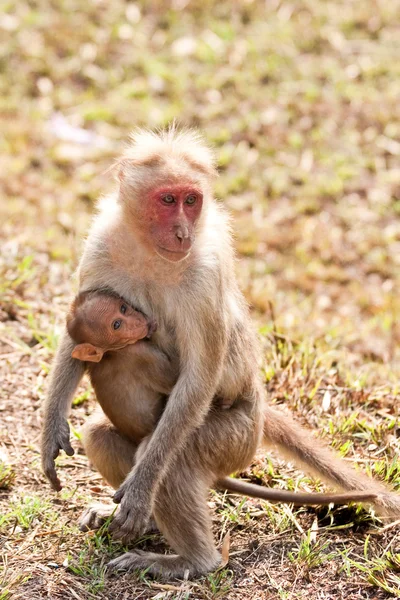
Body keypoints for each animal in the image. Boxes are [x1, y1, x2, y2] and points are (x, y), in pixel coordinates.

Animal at [42, 129, 398, 580]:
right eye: (167, 200)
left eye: (191, 200)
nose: (182, 233)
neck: (150, 250)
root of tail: (258, 404)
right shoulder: (101, 244)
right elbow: (76, 339)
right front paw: (51, 430)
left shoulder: (204, 275)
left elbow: (198, 379)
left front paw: (139, 492)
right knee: (100, 434)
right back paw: (142, 522)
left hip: (235, 437)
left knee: (173, 462)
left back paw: (193, 559)